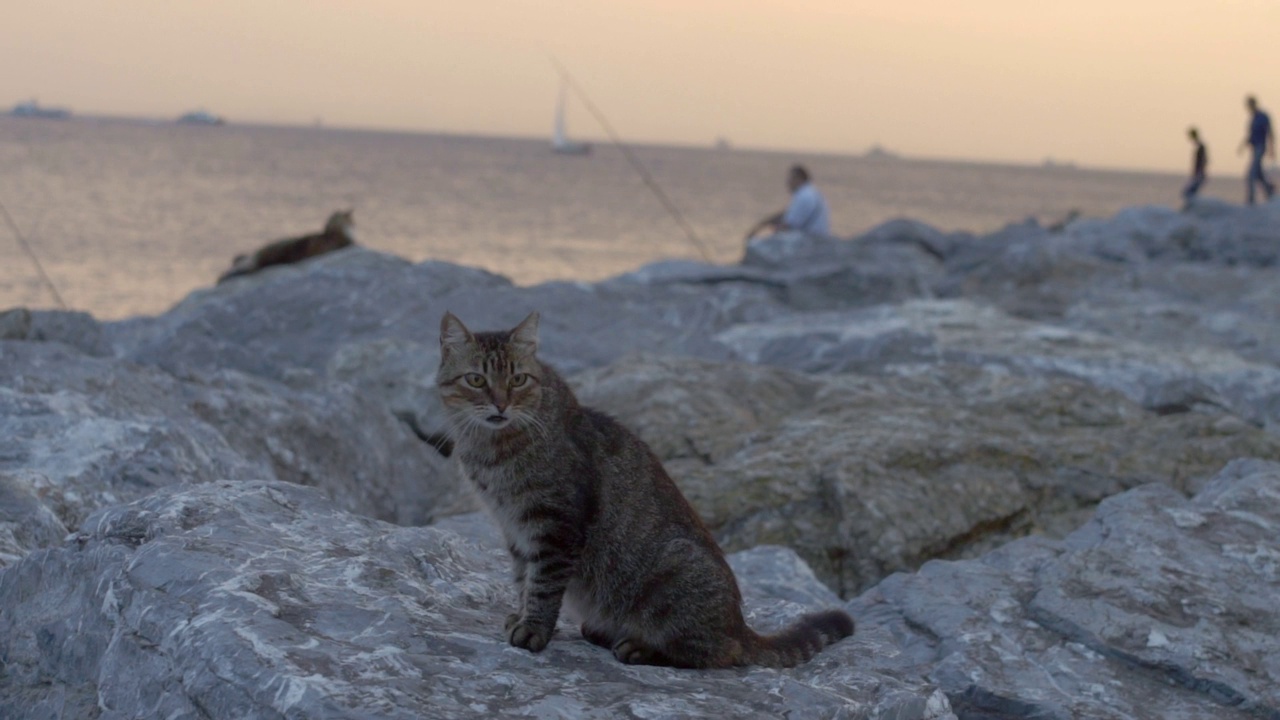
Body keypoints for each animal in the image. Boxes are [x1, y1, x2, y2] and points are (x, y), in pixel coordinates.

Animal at [435, 311, 855, 666]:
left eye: (518, 379)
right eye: (476, 380)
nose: (500, 404)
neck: (491, 451)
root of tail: (740, 626)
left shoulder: (555, 526)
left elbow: (543, 585)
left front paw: (533, 629)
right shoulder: (515, 530)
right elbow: (524, 580)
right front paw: (521, 614)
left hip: (673, 575)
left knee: (714, 653)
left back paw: (638, 646)